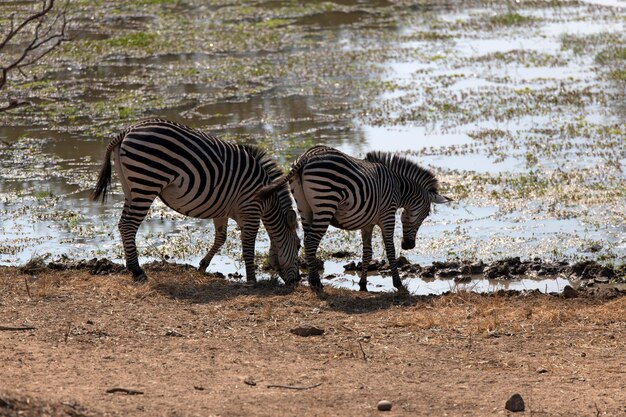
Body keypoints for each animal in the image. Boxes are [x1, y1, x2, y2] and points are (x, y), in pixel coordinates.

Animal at [89, 118, 300, 284]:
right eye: (298, 246)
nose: (297, 281)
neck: (267, 199)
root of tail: (128, 130)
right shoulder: (251, 211)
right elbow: (248, 245)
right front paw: (252, 280)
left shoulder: (223, 209)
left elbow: (221, 238)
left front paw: (203, 265)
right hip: (147, 182)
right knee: (129, 225)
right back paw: (137, 271)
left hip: (130, 187)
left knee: (122, 224)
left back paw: (131, 267)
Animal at [255, 145, 448, 290]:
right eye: (426, 214)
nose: (409, 245)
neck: (399, 188)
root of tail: (306, 156)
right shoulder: (387, 216)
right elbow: (390, 249)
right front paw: (398, 283)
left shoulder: (367, 222)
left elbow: (367, 252)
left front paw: (363, 284)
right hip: (325, 201)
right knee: (311, 242)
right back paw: (316, 282)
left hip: (304, 207)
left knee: (308, 240)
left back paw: (312, 280)